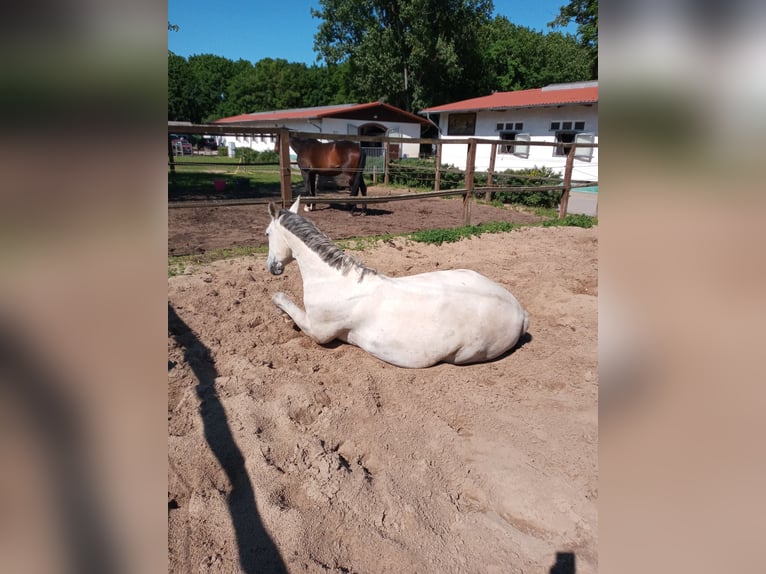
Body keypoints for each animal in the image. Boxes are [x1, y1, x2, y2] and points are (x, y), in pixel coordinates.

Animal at [266, 198, 528, 368]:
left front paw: (280, 308)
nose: (272, 267)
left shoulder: (318, 332)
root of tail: (520, 312)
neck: (334, 280)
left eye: (267, 233)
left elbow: (283, 300)